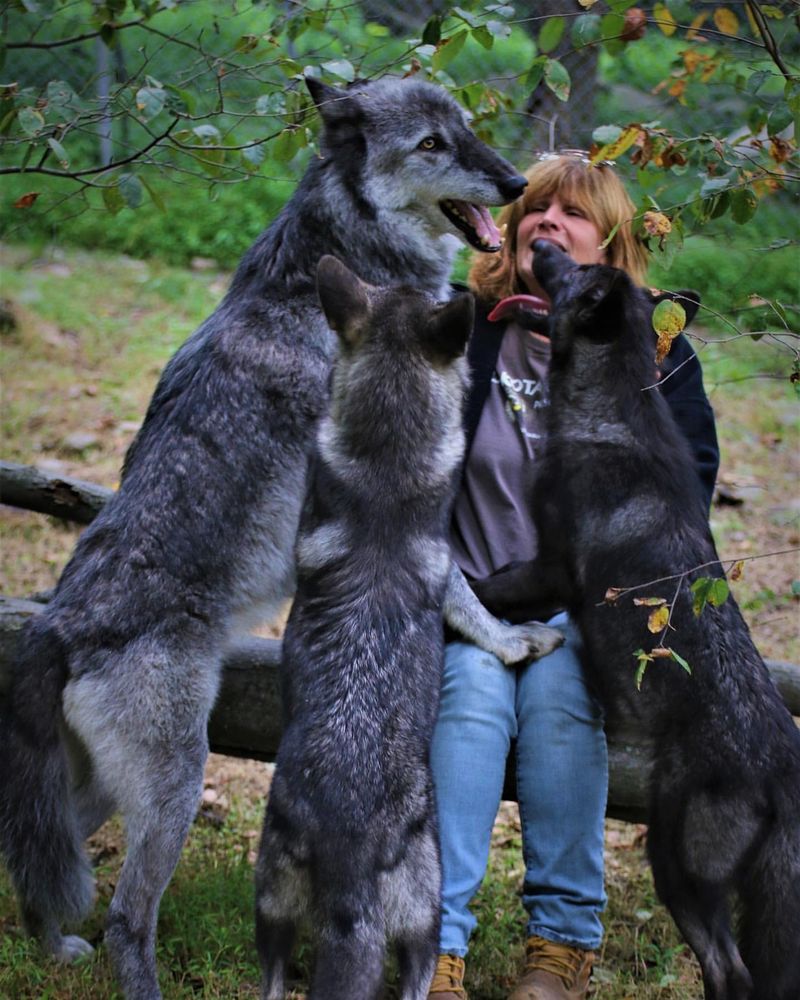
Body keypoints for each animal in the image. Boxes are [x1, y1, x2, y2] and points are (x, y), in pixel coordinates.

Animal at [0, 74, 532, 996]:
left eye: (466, 127)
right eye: (430, 144)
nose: (516, 183)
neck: (346, 255)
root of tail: (54, 628)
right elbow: (461, 592)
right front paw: (513, 641)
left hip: (98, 793)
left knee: (43, 874)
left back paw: (53, 946)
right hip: (178, 787)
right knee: (126, 919)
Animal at [256, 262, 564, 1000]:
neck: (386, 457)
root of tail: (345, 847)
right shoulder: (452, 577)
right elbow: (486, 622)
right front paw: (525, 639)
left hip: (271, 902)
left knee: (274, 976)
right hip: (426, 902)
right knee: (420, 969)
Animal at [472, 242, 800, 1000]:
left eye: (569, 268)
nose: (537, 244)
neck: (612, 404)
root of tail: (780, 777)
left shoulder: (549, 568)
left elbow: (490, 587)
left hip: (674, 859)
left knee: (730, 969)